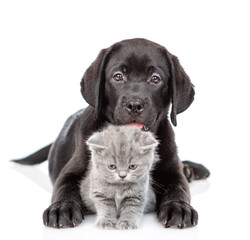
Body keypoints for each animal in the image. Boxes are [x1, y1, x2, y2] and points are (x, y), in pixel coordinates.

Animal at [13, 39, 209, 229]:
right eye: (118, 76)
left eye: (155, 79)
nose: (134, 104)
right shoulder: (72, 170)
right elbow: (64, 186)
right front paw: (62, 207)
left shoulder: (172, 170)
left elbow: (179, 188)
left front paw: (179, 207)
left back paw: (191, 169)